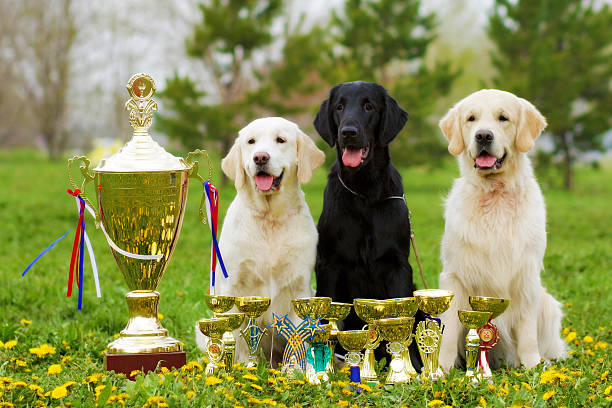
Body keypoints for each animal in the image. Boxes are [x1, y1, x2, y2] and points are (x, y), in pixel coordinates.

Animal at [196, 116, 326, 364]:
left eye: (281, 140)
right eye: (251, 142)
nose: (260, 157)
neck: (270, 219)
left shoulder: (300, 287)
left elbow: (301, 339)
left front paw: (299, 369)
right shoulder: (234, 285)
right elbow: (236, 340)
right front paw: (240, 367)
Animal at [316, 81, 420, 368]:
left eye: (369, 106)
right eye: (339, 106)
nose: (347, 132)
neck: (364, 191)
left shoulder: (398, 265)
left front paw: (412, 366)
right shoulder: (328, 264)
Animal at [438, 91, 568, 372]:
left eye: (503, 118)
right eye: (471, 118)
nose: (483, 136)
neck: (495, 194)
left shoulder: (526, 275)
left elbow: (528, 331)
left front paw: (532, 365)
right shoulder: (455, 276)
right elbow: (450, 329)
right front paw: (440, 369)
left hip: (548, 304)